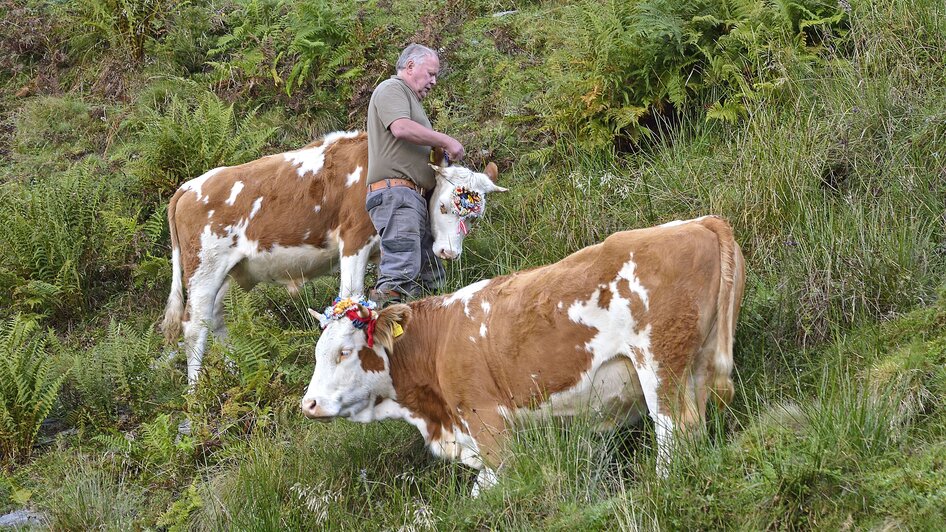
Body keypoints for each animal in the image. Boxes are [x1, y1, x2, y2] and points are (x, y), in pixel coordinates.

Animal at [159, 130, 506, 384]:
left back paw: (235, 372)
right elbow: (351, 295)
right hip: (204, 268)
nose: (450, 252)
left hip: (229, 272)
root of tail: (188, 187)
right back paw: (197, 391)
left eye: (475, 216)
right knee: (194, 325)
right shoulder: (354, 239)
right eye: (445, 206)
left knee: (215, 318)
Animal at [302, 215, 744, 494]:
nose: (309, 404)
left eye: (345, 351)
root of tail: (698, 222)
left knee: (675, 430)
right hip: (698, 362)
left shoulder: (488, 424)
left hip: (658, 363)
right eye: (319, 354)